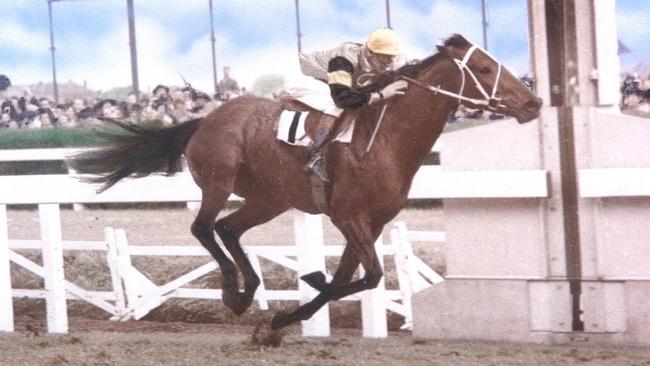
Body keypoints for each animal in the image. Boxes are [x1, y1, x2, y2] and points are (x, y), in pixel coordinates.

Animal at [71, 35, 540, 344]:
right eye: (485, 69)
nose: (533, 103)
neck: (386, 139)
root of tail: (205, 119)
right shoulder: (347, 214)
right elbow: (367, 276)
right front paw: (301, 291)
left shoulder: (371, 221)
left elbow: (354, 278)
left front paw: (281, 318)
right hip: (219, 180)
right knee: (203, 228)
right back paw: (232, 291)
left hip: (270, 198)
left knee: (228, 230)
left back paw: (247, 291)